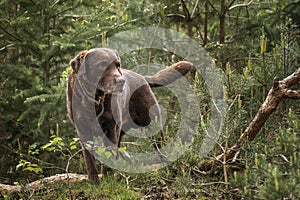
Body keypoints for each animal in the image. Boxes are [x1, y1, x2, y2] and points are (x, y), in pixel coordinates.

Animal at [67, 48, 191, 183]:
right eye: (101, 65)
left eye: (118, 65)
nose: (121, 81)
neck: (94, 100)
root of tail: (143, 77)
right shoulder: (83, 131)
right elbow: (90, 160)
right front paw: (94, 181)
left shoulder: (111, 128)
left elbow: (109, 154)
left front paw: (108, 177)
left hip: (152, 124)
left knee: (161, 146)